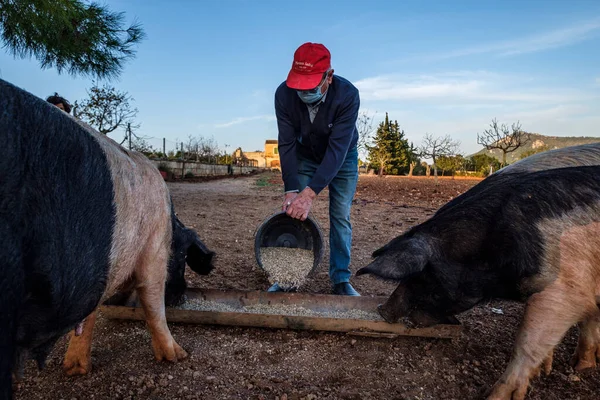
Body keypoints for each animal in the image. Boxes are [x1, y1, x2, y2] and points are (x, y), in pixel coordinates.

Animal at [0, 79, 216, 400]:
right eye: (182, 258)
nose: (181, 296)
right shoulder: (153, 249)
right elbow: (153, 305)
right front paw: (179, 356)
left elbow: (87, 317)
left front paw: (75, 370)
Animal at [356, 144, 600, 400]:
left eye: (424, 275)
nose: (382, 310)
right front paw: (573, 367)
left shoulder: (563, 289)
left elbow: (528, 341)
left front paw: (494, 396)